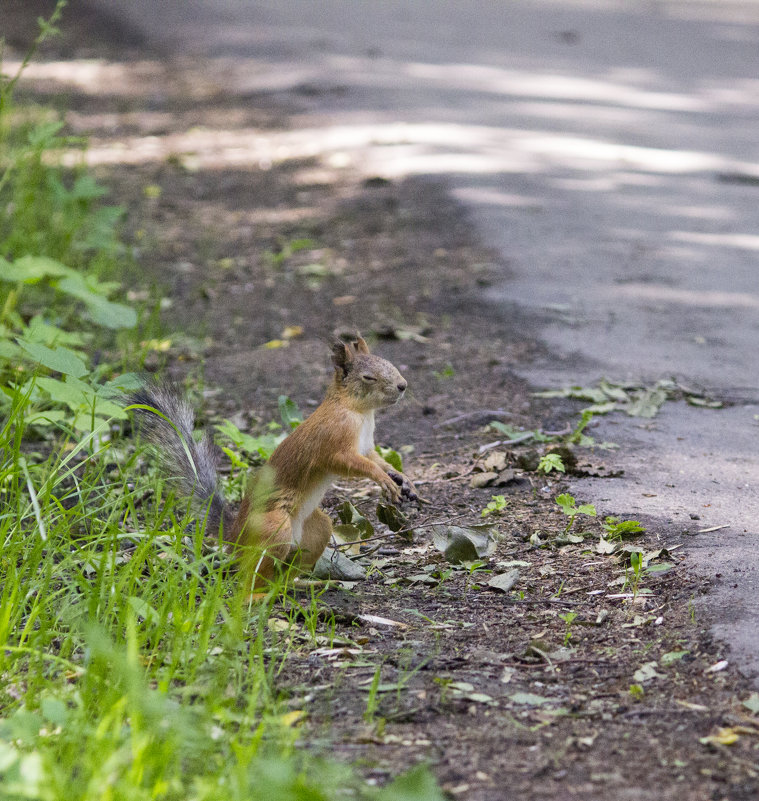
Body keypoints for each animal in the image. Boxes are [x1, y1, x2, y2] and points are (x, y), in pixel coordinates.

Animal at [131, 334, 416, 592]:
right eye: (368, 377)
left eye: (389, 363)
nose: (403, 385)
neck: (359, 411)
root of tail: (236, 536)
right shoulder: (334, 442)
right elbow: (353, 463)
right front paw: (383, 480)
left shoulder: (366, 445)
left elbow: (375, 458)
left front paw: (400, 478)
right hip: (275, 529)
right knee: (252, 579)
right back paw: (258, 596)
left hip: (316, 531)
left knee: (284, 574)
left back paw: (301, 585)